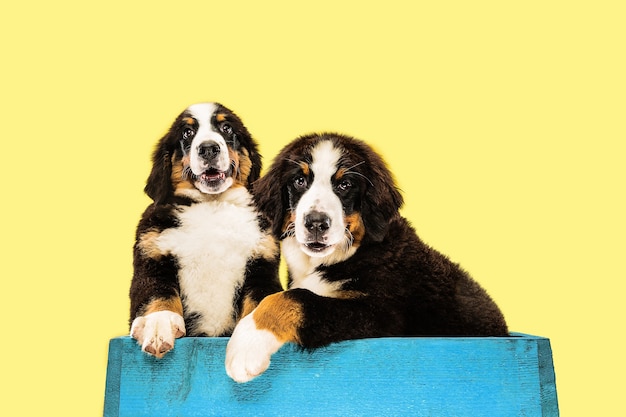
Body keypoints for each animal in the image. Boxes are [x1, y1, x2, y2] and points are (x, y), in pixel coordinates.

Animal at [225, 132, 508, 382]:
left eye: (345, 185)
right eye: (299, 181)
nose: (316, 223)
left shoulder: (381, 315)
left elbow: (295, 298)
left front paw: (246, 344)